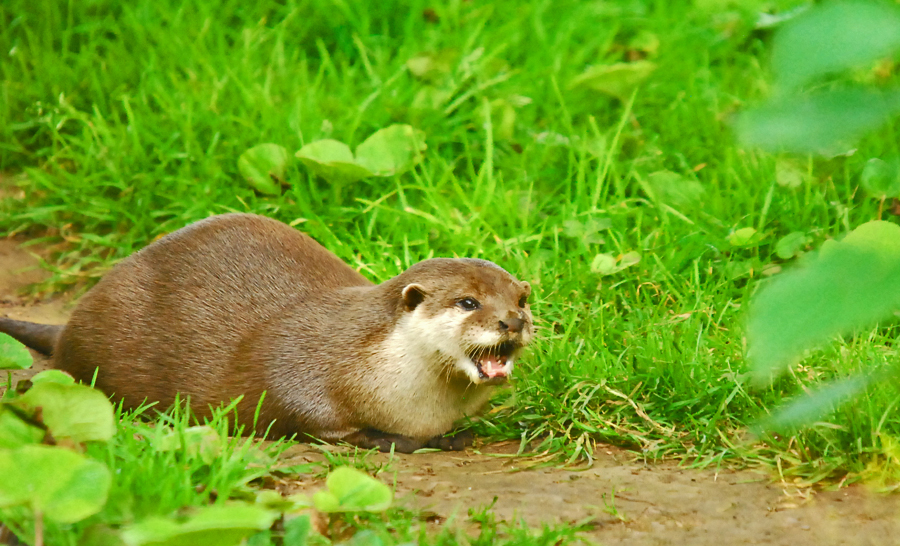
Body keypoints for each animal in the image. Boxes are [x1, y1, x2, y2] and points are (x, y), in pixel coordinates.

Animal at [0, 213, 533, 452]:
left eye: (521, 299)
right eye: (468, 302)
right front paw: (410, 440)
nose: (512, 321)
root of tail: (72, 325)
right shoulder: (301, 370)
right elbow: (321, 421)